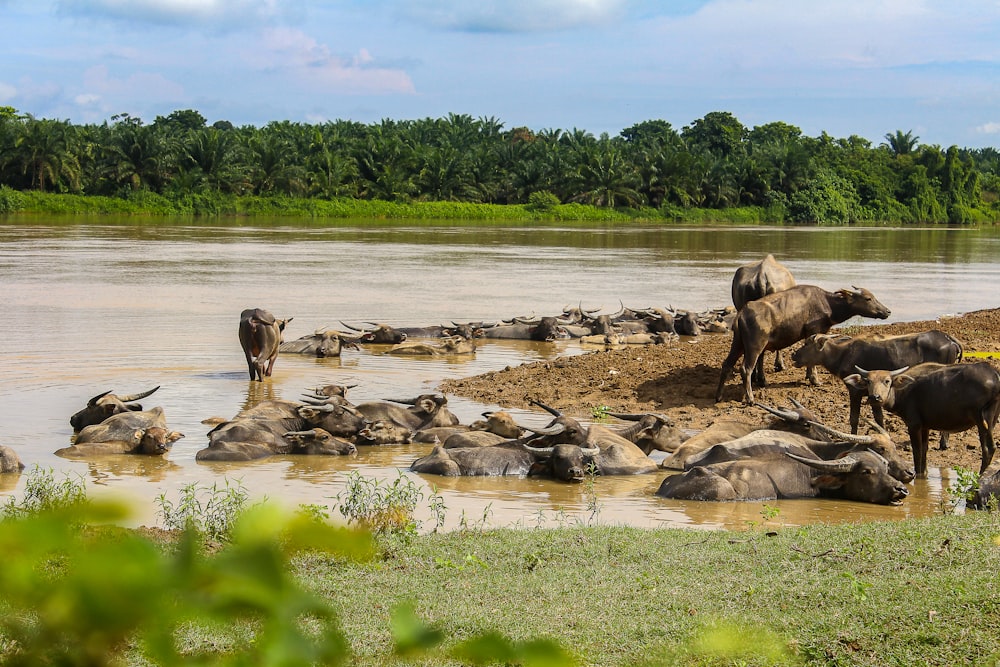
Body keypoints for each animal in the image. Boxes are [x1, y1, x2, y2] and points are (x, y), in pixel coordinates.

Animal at [712, 284, 892, 404]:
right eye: (868, 298)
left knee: (726, 364)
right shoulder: (815, 330)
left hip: (738, 343)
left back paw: (719, 396)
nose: (887, 311)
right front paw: (815, 380)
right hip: (754, 346)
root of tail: (741, 313)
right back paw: (750, 398)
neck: (828, 303)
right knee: (746, 369)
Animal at [844, 362, 1000, 478]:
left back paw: (980, 476)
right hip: (991, 420)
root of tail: (995, 375)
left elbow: (917, 450)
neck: (903, 392)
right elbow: (924, 449)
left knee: (988, 448)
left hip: (981, 419)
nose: (874, 397)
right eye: (868, 381)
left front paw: (917, 474)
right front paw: (924, 474)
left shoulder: (914, 425)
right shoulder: (925, 426)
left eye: (887, 381)